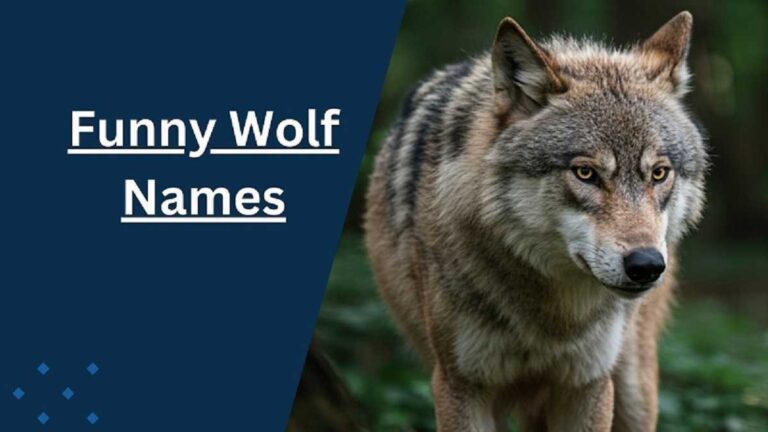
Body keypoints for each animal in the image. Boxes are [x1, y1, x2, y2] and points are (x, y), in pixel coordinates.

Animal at [365, 11, 707, 432]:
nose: (646, 265)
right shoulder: (459, 385)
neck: (551, 321)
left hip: (633, 388)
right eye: (585, 173)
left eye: (659, 174)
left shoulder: (588, 384)